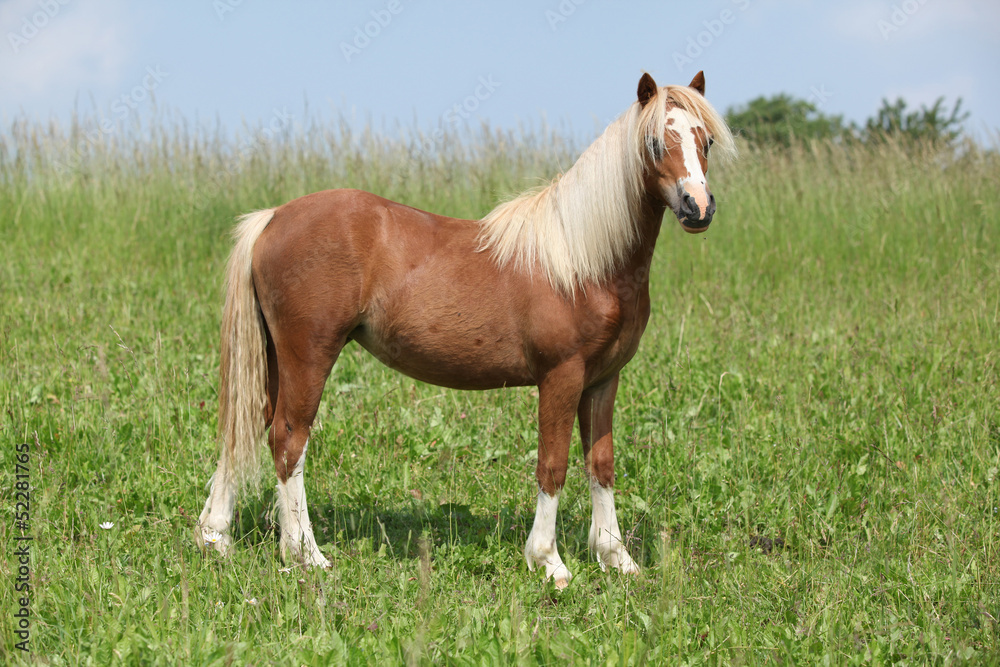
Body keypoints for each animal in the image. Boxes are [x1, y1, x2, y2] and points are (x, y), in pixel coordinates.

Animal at [199, 70, 740, 588]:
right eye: (654, 143)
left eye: (706, 140)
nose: (697, 207)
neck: (582, 259)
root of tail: (272, 218)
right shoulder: (561, 377)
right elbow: (553, 466)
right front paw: (549, 562)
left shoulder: (603, 380)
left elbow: (601, 465)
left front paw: (616, 558)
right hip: (309, 355)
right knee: (289, 441)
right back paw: (307, 555)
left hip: (277, 359)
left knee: (250, 428)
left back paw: (216, 537)